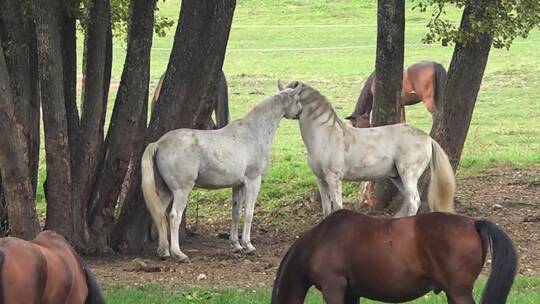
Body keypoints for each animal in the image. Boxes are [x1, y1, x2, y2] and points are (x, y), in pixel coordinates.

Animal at [141, 83, 304, 262]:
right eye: (297, 99)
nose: (300, 112)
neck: (254, 131)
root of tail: (159, 143)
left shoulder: (238, 185)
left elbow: (236, 213)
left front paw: (236, 245)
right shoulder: (253, 180)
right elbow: (249, 213)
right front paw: (248, 245)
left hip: (165, 191)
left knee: (159, 215)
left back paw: (163, 251)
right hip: (181, 191)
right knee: (174, 216)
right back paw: (178, 254)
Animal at [280, 81, 458, 217]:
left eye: (290, 97)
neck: (326, 136)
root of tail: (428, 138)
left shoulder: (333, 178)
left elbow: (337, 206)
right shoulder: (321, 180)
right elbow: (326, 208)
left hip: (408, 175)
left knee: (414, 201)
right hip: (397, 177)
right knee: (410, 201)